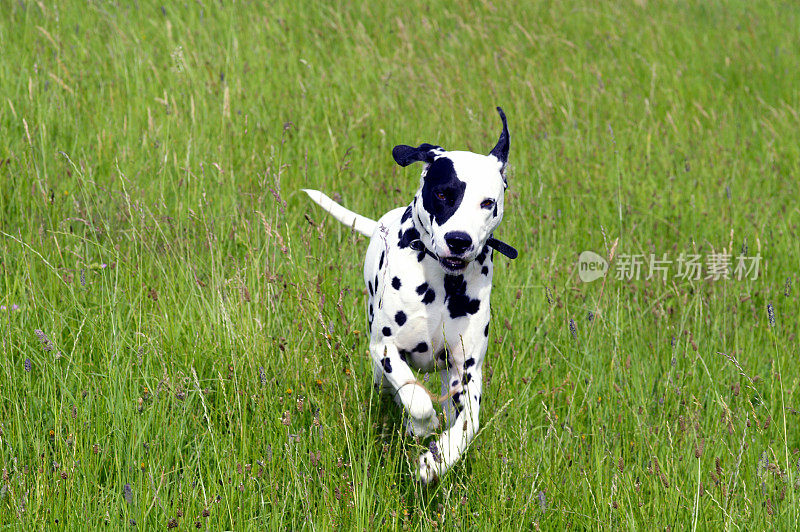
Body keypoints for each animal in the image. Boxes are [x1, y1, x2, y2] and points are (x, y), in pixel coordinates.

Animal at [302, 107, 520, 482]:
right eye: (444, 194)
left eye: (487, 202)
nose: (459, 240)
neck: (444, 284)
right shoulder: (385, 348)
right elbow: (416, 399)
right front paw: (422, 425)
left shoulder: (467, 371)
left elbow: (468, 425)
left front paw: (438, 459)